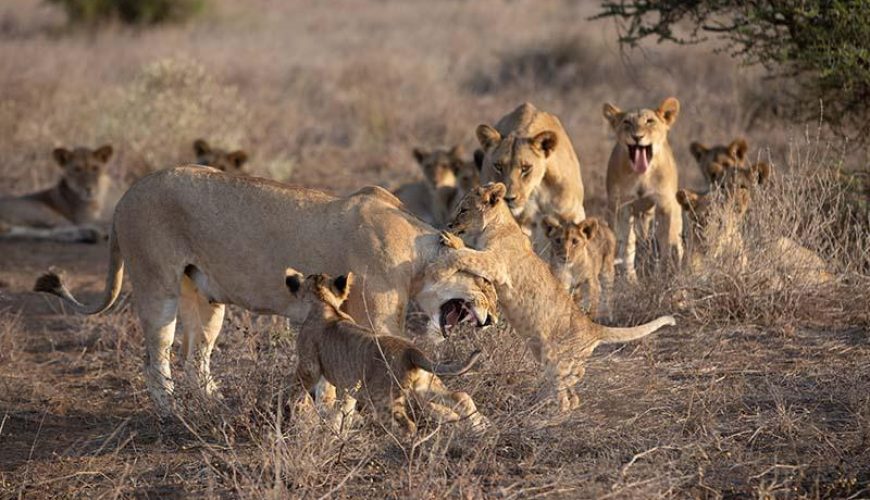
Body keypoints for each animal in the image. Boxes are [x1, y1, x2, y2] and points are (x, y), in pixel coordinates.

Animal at [33, 166, 498, 415]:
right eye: (487, 283)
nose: (493, 317)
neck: (416, 253)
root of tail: (127, 194)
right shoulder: (383, 329)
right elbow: (426, 378)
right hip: (156, 286)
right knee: (155, 358)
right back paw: (171, 411)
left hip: (205, 299)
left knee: (196, 356)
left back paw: (214, 403)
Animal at [290, 271, 489, 435]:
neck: (323, 303)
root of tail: (410, 350)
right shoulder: (349, 386)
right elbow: (343, 409)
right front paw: (338, 433)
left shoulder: (309, 366)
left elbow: (300, 391)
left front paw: (299, 413)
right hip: (424, 386)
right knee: (460, 396)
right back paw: (478, 426)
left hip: (383, 398)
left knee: (408, 426)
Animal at [426, 183, 676, 412]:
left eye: (463, 210)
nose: (449, 224)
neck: (498, 224)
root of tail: (592, 327)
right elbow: (467, 252)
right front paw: (451, 241)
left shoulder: (495, 264)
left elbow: (465, 256)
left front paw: (439, 266)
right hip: (543, 352)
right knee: (571, 389)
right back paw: (543, 400)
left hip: (555, 355)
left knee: (566, 385)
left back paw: (550, 407)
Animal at [603, 97, 683, 281]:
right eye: (627, 122)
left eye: (649, 121)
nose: (637, 137)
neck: (642, 175)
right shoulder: (621, 205)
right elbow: (625, 244)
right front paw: (628, 278)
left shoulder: (665, 203)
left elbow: (666, 239)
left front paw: (665, 273)